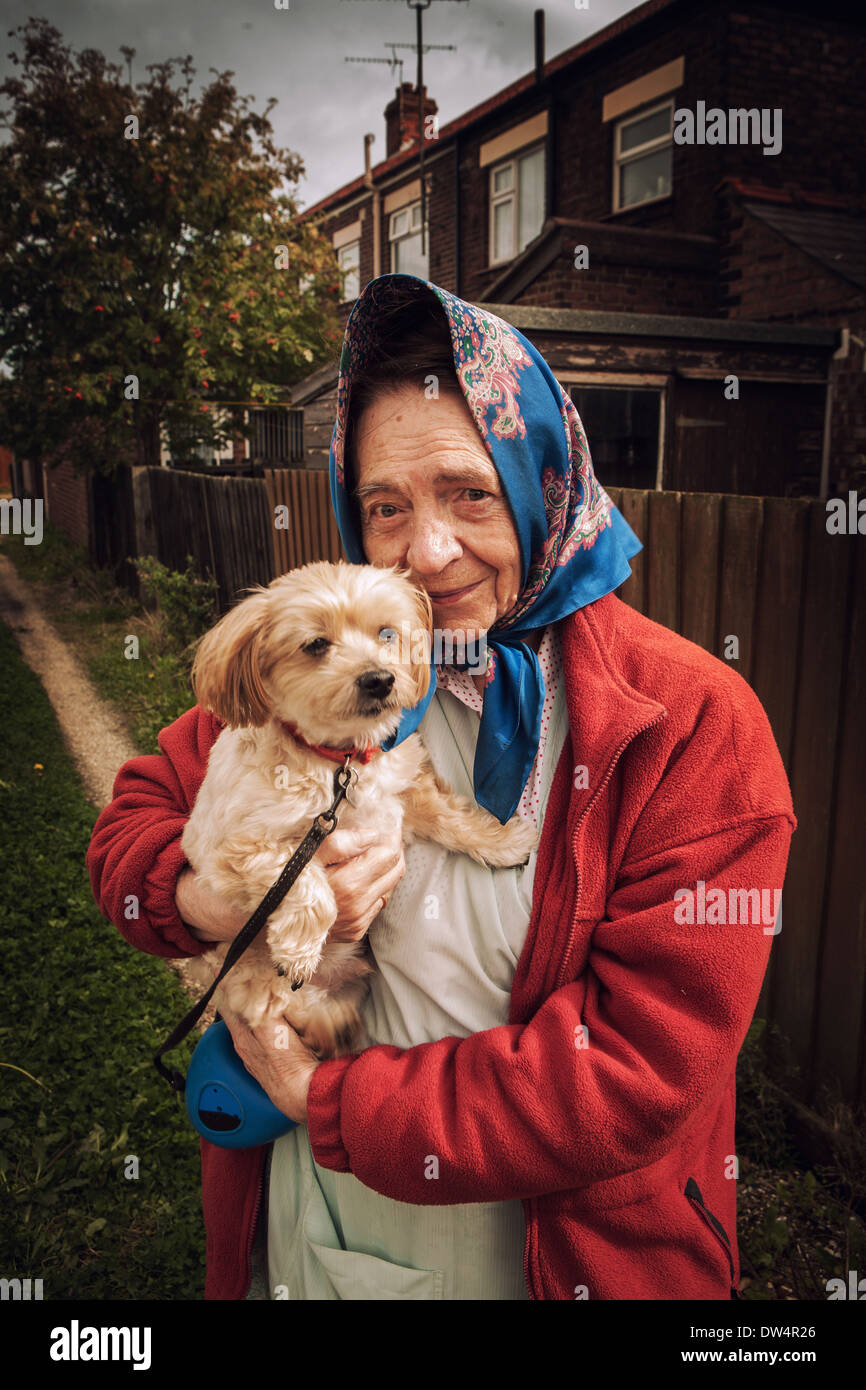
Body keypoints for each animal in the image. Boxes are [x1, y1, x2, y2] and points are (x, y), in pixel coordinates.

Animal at [180, 558, 539, 1056]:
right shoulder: (235, 854)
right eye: (316, 644)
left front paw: (503, 843)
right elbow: (307, 885)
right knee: (280, 1007)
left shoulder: (404, 791)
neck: (339, 763)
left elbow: (453, 819)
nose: (379, 678)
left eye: (386, 633)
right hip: (251, 976)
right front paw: (300, 949)